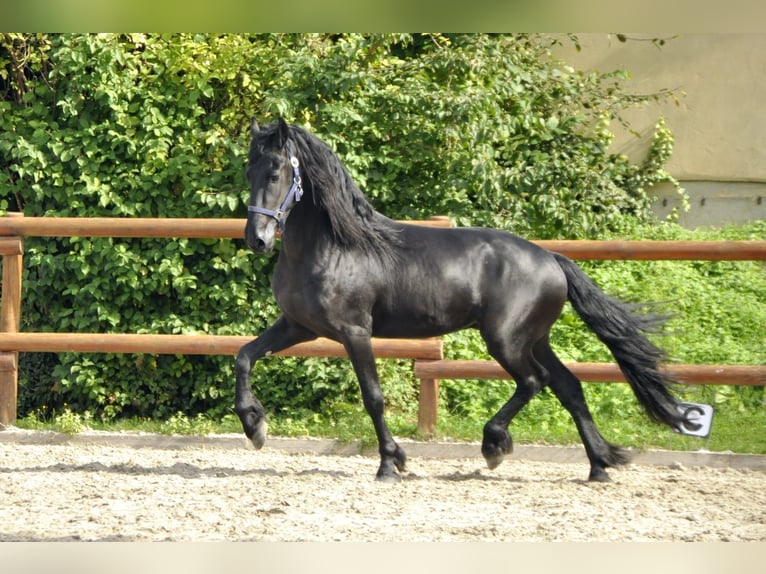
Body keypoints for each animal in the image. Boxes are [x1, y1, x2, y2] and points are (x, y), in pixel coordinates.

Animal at [235, 118, 686, 482]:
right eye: (248, 170)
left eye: (275, 172)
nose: (257, 240)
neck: (335, 246)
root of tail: (551, 259)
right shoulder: (299, 327)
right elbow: (244, 356)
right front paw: (255, 426)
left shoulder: (354, 332)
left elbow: (374, 398)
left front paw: (390, 463)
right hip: (534, 339)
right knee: (569, 386)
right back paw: (598, 466)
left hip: (505, 340)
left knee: (534, 381)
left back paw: (494, 446)